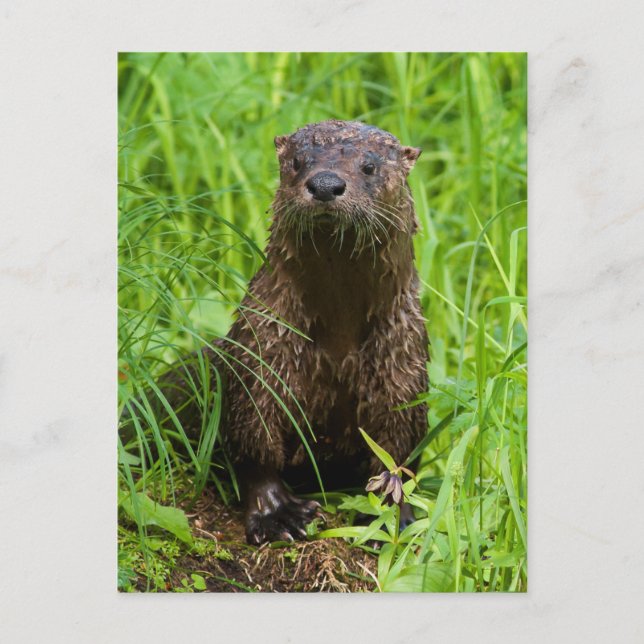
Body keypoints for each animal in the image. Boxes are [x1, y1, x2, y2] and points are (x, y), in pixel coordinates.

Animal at [217, 120, 430, 544]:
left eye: (369, 166)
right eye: (298, 162)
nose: (326, 184)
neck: (338, 343)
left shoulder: (403, 366)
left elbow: (398, 452)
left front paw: (392, 516)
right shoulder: (261, 351)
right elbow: (254, 442)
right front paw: (278, 514)